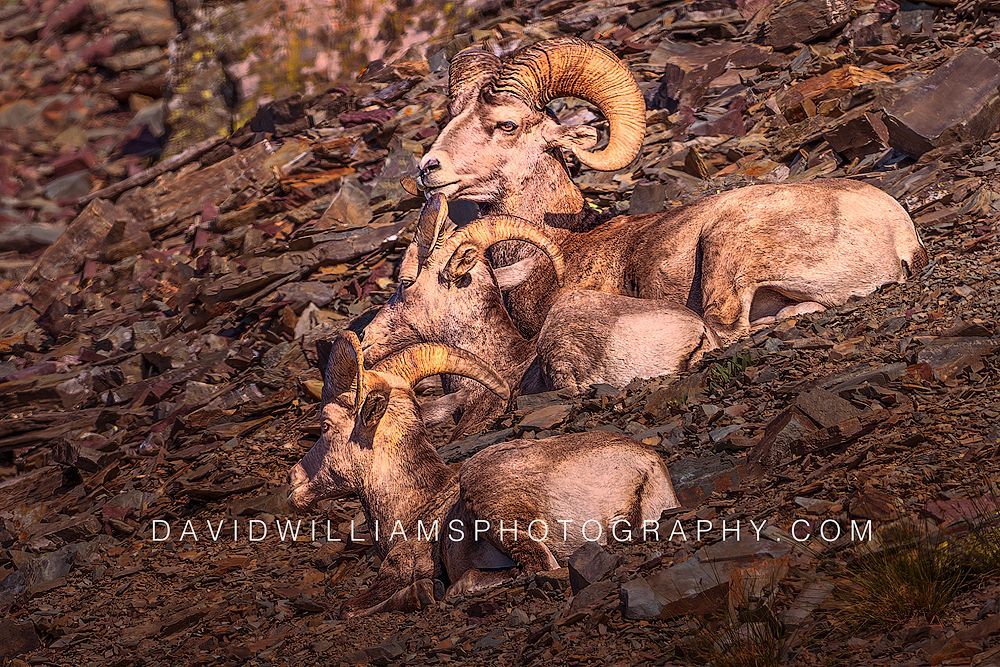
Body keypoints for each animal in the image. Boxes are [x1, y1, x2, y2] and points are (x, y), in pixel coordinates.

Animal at [287, 332, 679, 616]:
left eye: (325, 425)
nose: (294, 482)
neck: (415, 508)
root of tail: (643, 465)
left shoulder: (398, 568)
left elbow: (347, 610)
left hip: (490, 502)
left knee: (539, 565)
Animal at [414, 36, 929, 343]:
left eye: (507, 125)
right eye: (451, 117)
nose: (428, 169)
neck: (562, 245)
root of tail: (898, 236)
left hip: (726, 249)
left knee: (728, 327)